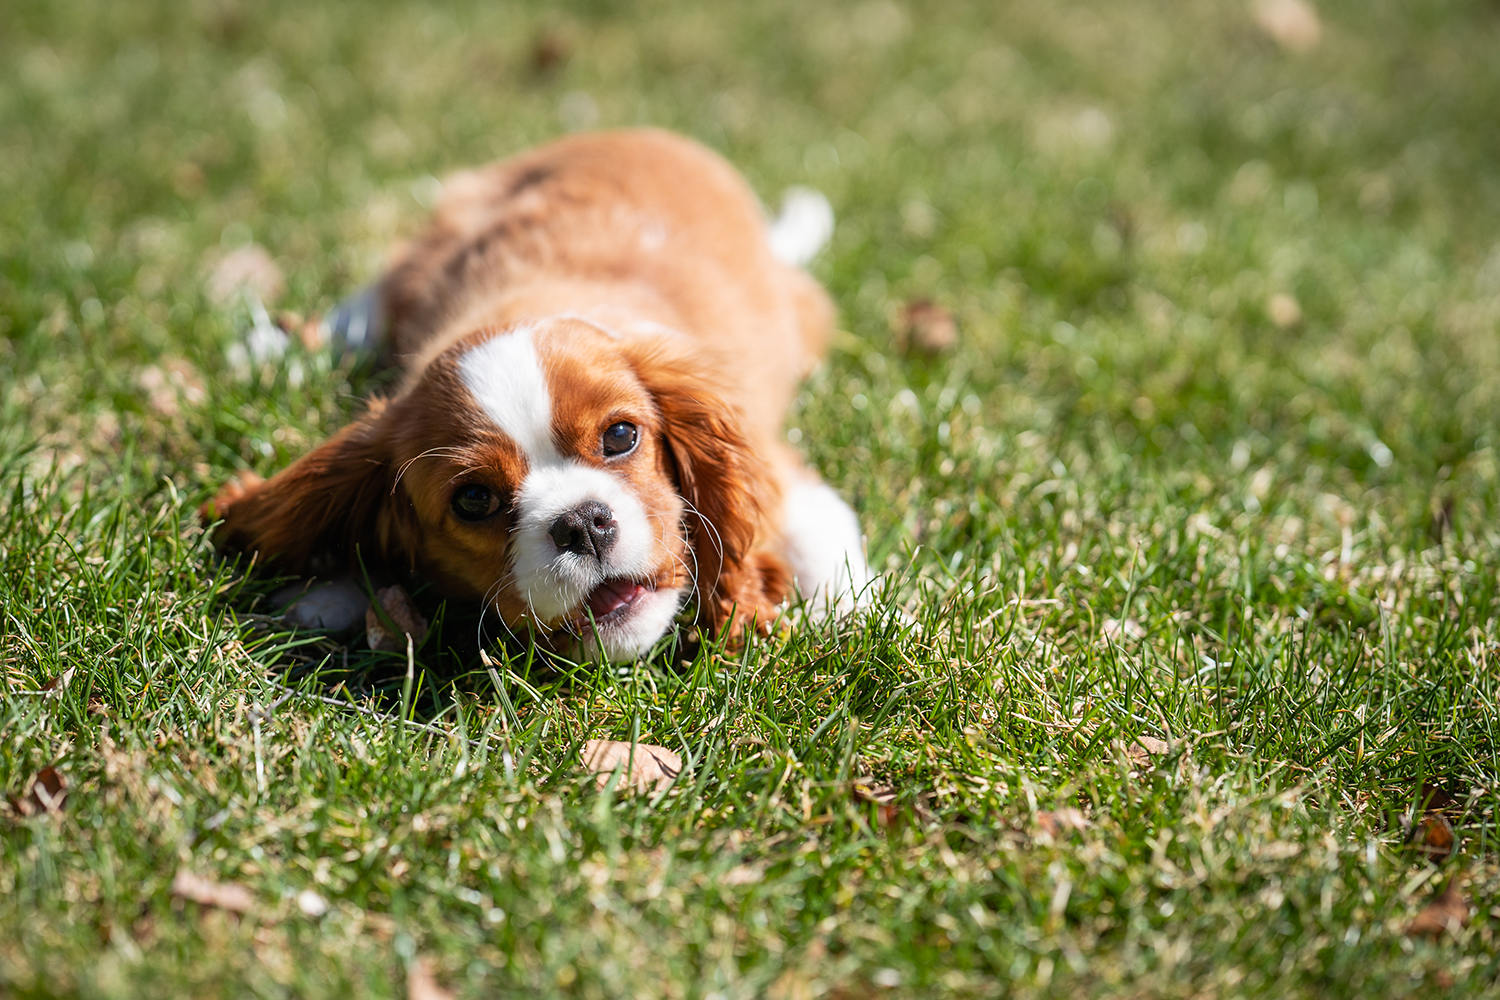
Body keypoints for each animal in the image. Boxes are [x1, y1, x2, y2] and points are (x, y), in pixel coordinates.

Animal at [205, 128, 876, 659]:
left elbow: (822, 544)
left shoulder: (774, 462)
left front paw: (866, 623)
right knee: (366, 305)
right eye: (474, 499)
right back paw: (269, 348)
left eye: (621, 436)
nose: (582, 524)